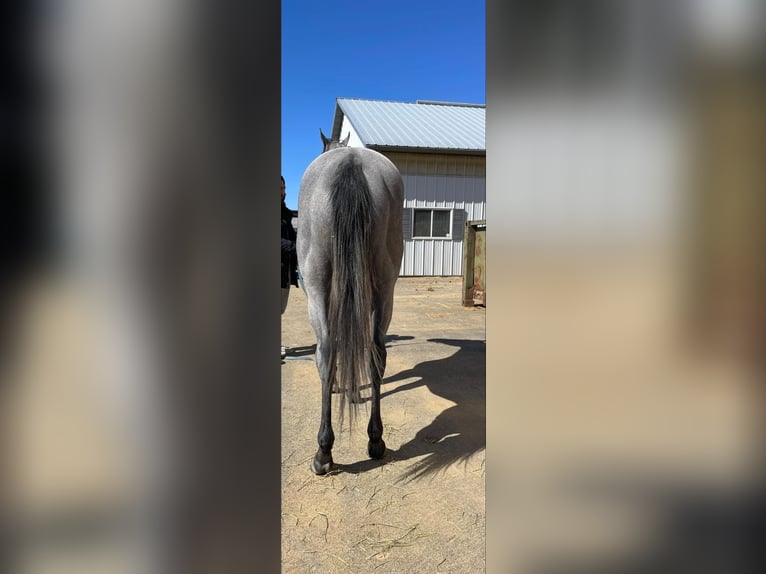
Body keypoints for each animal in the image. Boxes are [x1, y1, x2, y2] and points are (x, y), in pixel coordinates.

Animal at [300, 130, 408, 476]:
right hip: (386, 286)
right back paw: (375, 441)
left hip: (317, 283)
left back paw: (323, 453)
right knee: (377, 353)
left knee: (326, 351)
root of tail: (351, 162)